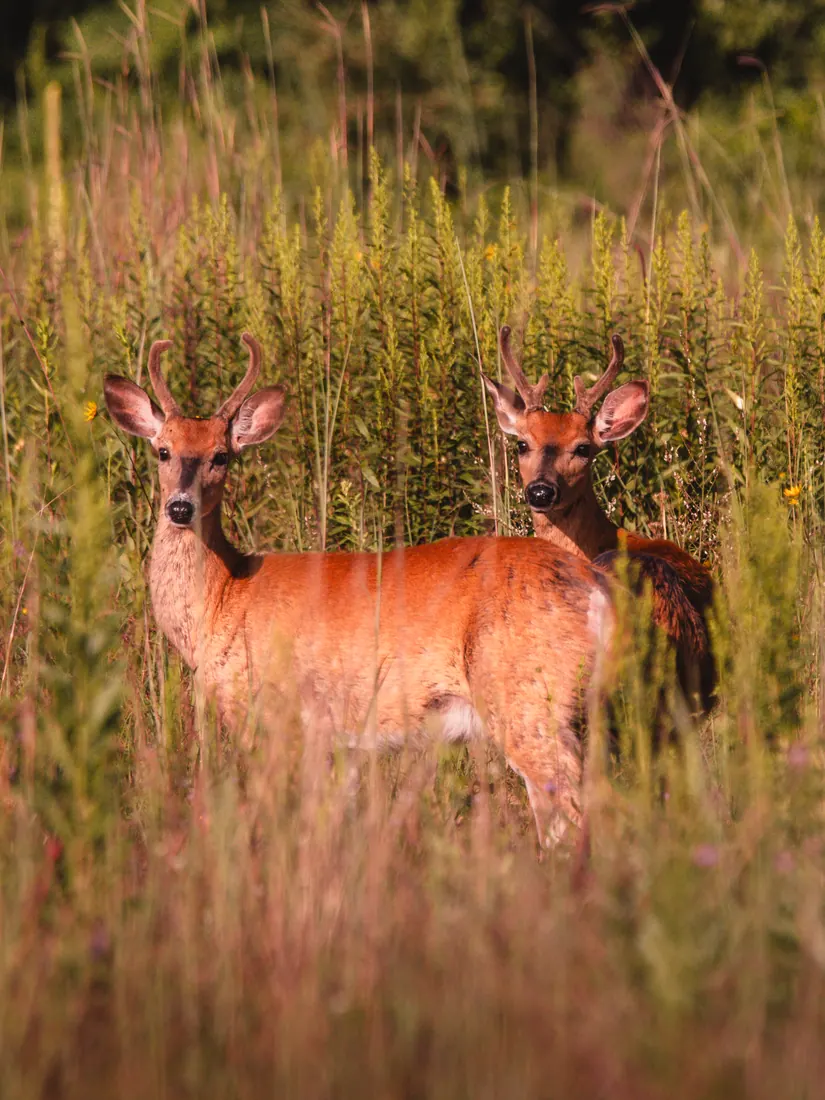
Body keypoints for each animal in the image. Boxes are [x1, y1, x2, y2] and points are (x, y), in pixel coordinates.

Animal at [104, 332, 616, 850]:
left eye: (221, 456)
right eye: (163, 450)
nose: (180, 507)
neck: (223, 596)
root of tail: (594, 585)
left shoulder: (272, 713)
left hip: (526, 694)